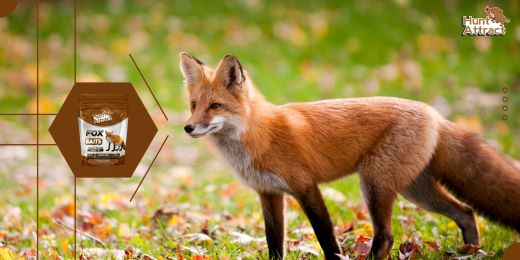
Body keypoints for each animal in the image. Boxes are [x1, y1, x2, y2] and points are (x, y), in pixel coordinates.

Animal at [180, 51, 520, 258]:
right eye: (194, 105)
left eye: (215, 106)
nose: (188, 127)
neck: (257, 135)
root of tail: (434, 113)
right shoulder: (268, 194)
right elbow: (273, 241)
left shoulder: (305, 185)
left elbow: (325, 235)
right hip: (415, 189)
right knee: (466, 211)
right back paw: (471, 251)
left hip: (374, 183)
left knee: (386, 236)